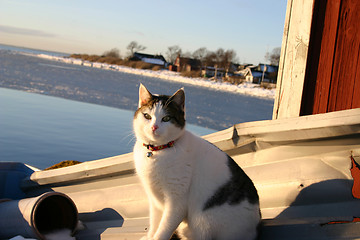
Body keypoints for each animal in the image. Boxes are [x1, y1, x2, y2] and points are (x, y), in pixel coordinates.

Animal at [132, 84, 258, 240]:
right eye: (147, 116)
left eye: (166, 118)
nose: (154, 127)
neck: (158, 151)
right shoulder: (154, 200)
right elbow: (155, 222)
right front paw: (150, 236)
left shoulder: (177, 201)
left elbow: (165, 227)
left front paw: (157, 237)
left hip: (204, 222)